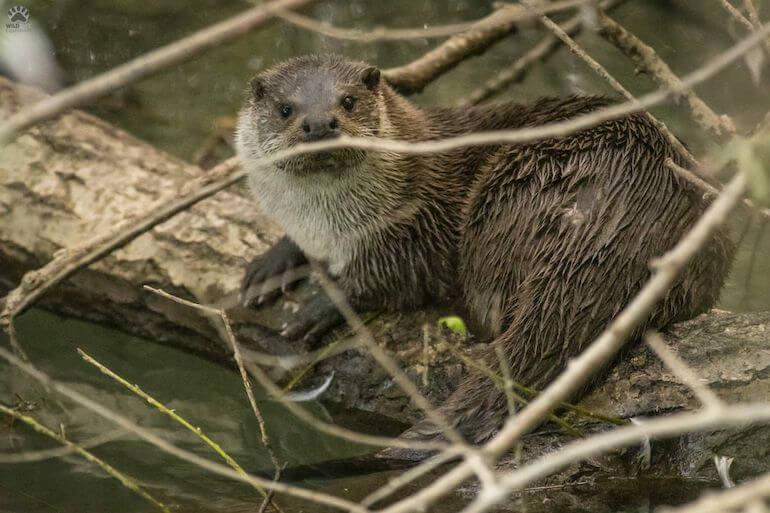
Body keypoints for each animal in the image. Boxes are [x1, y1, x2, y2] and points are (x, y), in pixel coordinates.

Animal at [234, 55, 732, 448]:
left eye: (348, 101)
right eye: (285, 108)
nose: (320, 124)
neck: (326, 223)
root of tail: (626, 213)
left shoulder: (415, 224)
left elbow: (389, 279)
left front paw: (318, 306)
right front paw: (272, 264)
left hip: (504, 198)